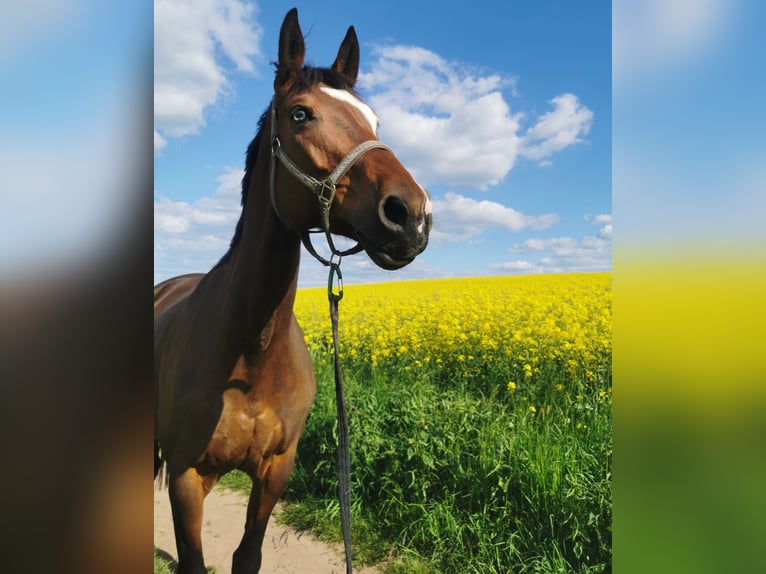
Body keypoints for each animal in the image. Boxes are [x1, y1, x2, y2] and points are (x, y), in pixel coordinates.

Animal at [154, 8, 432, 574]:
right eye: (300, 114)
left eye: (374, 121)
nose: (411, 214)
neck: (251, 350)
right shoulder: (185, 477)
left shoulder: (275, 473)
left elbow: (247, 556)